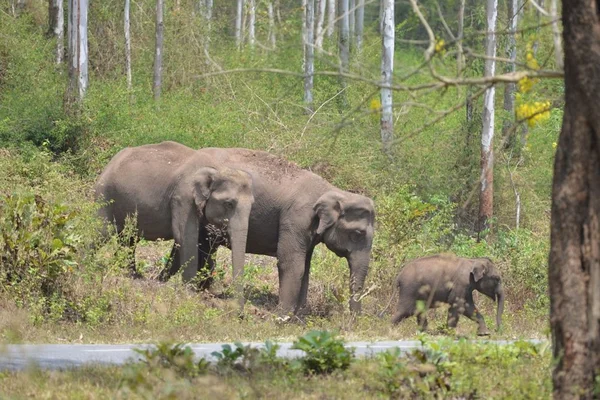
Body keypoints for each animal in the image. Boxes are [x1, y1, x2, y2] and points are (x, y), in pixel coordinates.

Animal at [94, 141, 253, 310]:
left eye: (252, 205)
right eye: (229, 204)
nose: (239, 313)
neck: (217, 168)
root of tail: (110, 162)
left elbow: (195, 241)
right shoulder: (183, 198)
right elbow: (186, 237)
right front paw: (189, 293)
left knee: (128, 239)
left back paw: (130, 274)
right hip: (105, 195)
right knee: (100, 232)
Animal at [159, 147, 376, 316]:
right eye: (357, 234)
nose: (354, 321)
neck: (332, 190)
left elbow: (305, 266)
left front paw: (298, 317)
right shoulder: (296, 218)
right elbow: (292, 263)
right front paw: (282, 317)